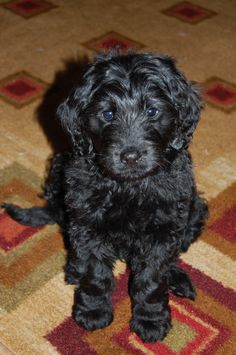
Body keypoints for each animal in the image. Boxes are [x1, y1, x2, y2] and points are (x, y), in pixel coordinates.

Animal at [2, 51, 207, 344]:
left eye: (152, 111)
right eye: (108, 114)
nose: (130, 156)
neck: (127, 187)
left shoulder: (164, 228)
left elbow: (152, 278)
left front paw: (151, 319)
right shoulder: (87, 223)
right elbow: (96, 274)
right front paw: (93, 311)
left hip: (194, 209)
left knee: (175, 253)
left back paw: (178, 279)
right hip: (58, 175)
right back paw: (73, 269)